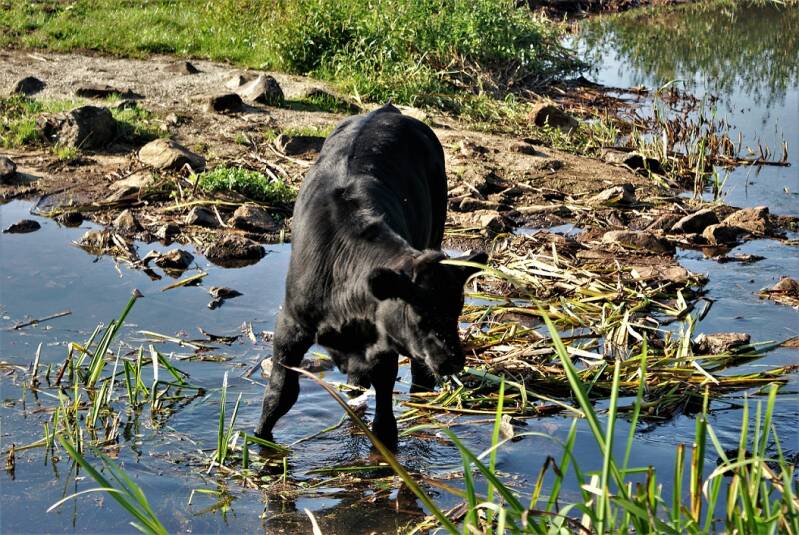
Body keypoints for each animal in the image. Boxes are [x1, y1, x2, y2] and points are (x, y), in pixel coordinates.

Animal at [255, 104, 486, 450]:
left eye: (457, 311)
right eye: (419, 316)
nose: (453, 360)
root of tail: (386, 110)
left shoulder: (384, 348)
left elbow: (384, 423)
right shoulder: (290, 326)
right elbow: (279, 397)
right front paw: (259, 444)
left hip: (436, 227)